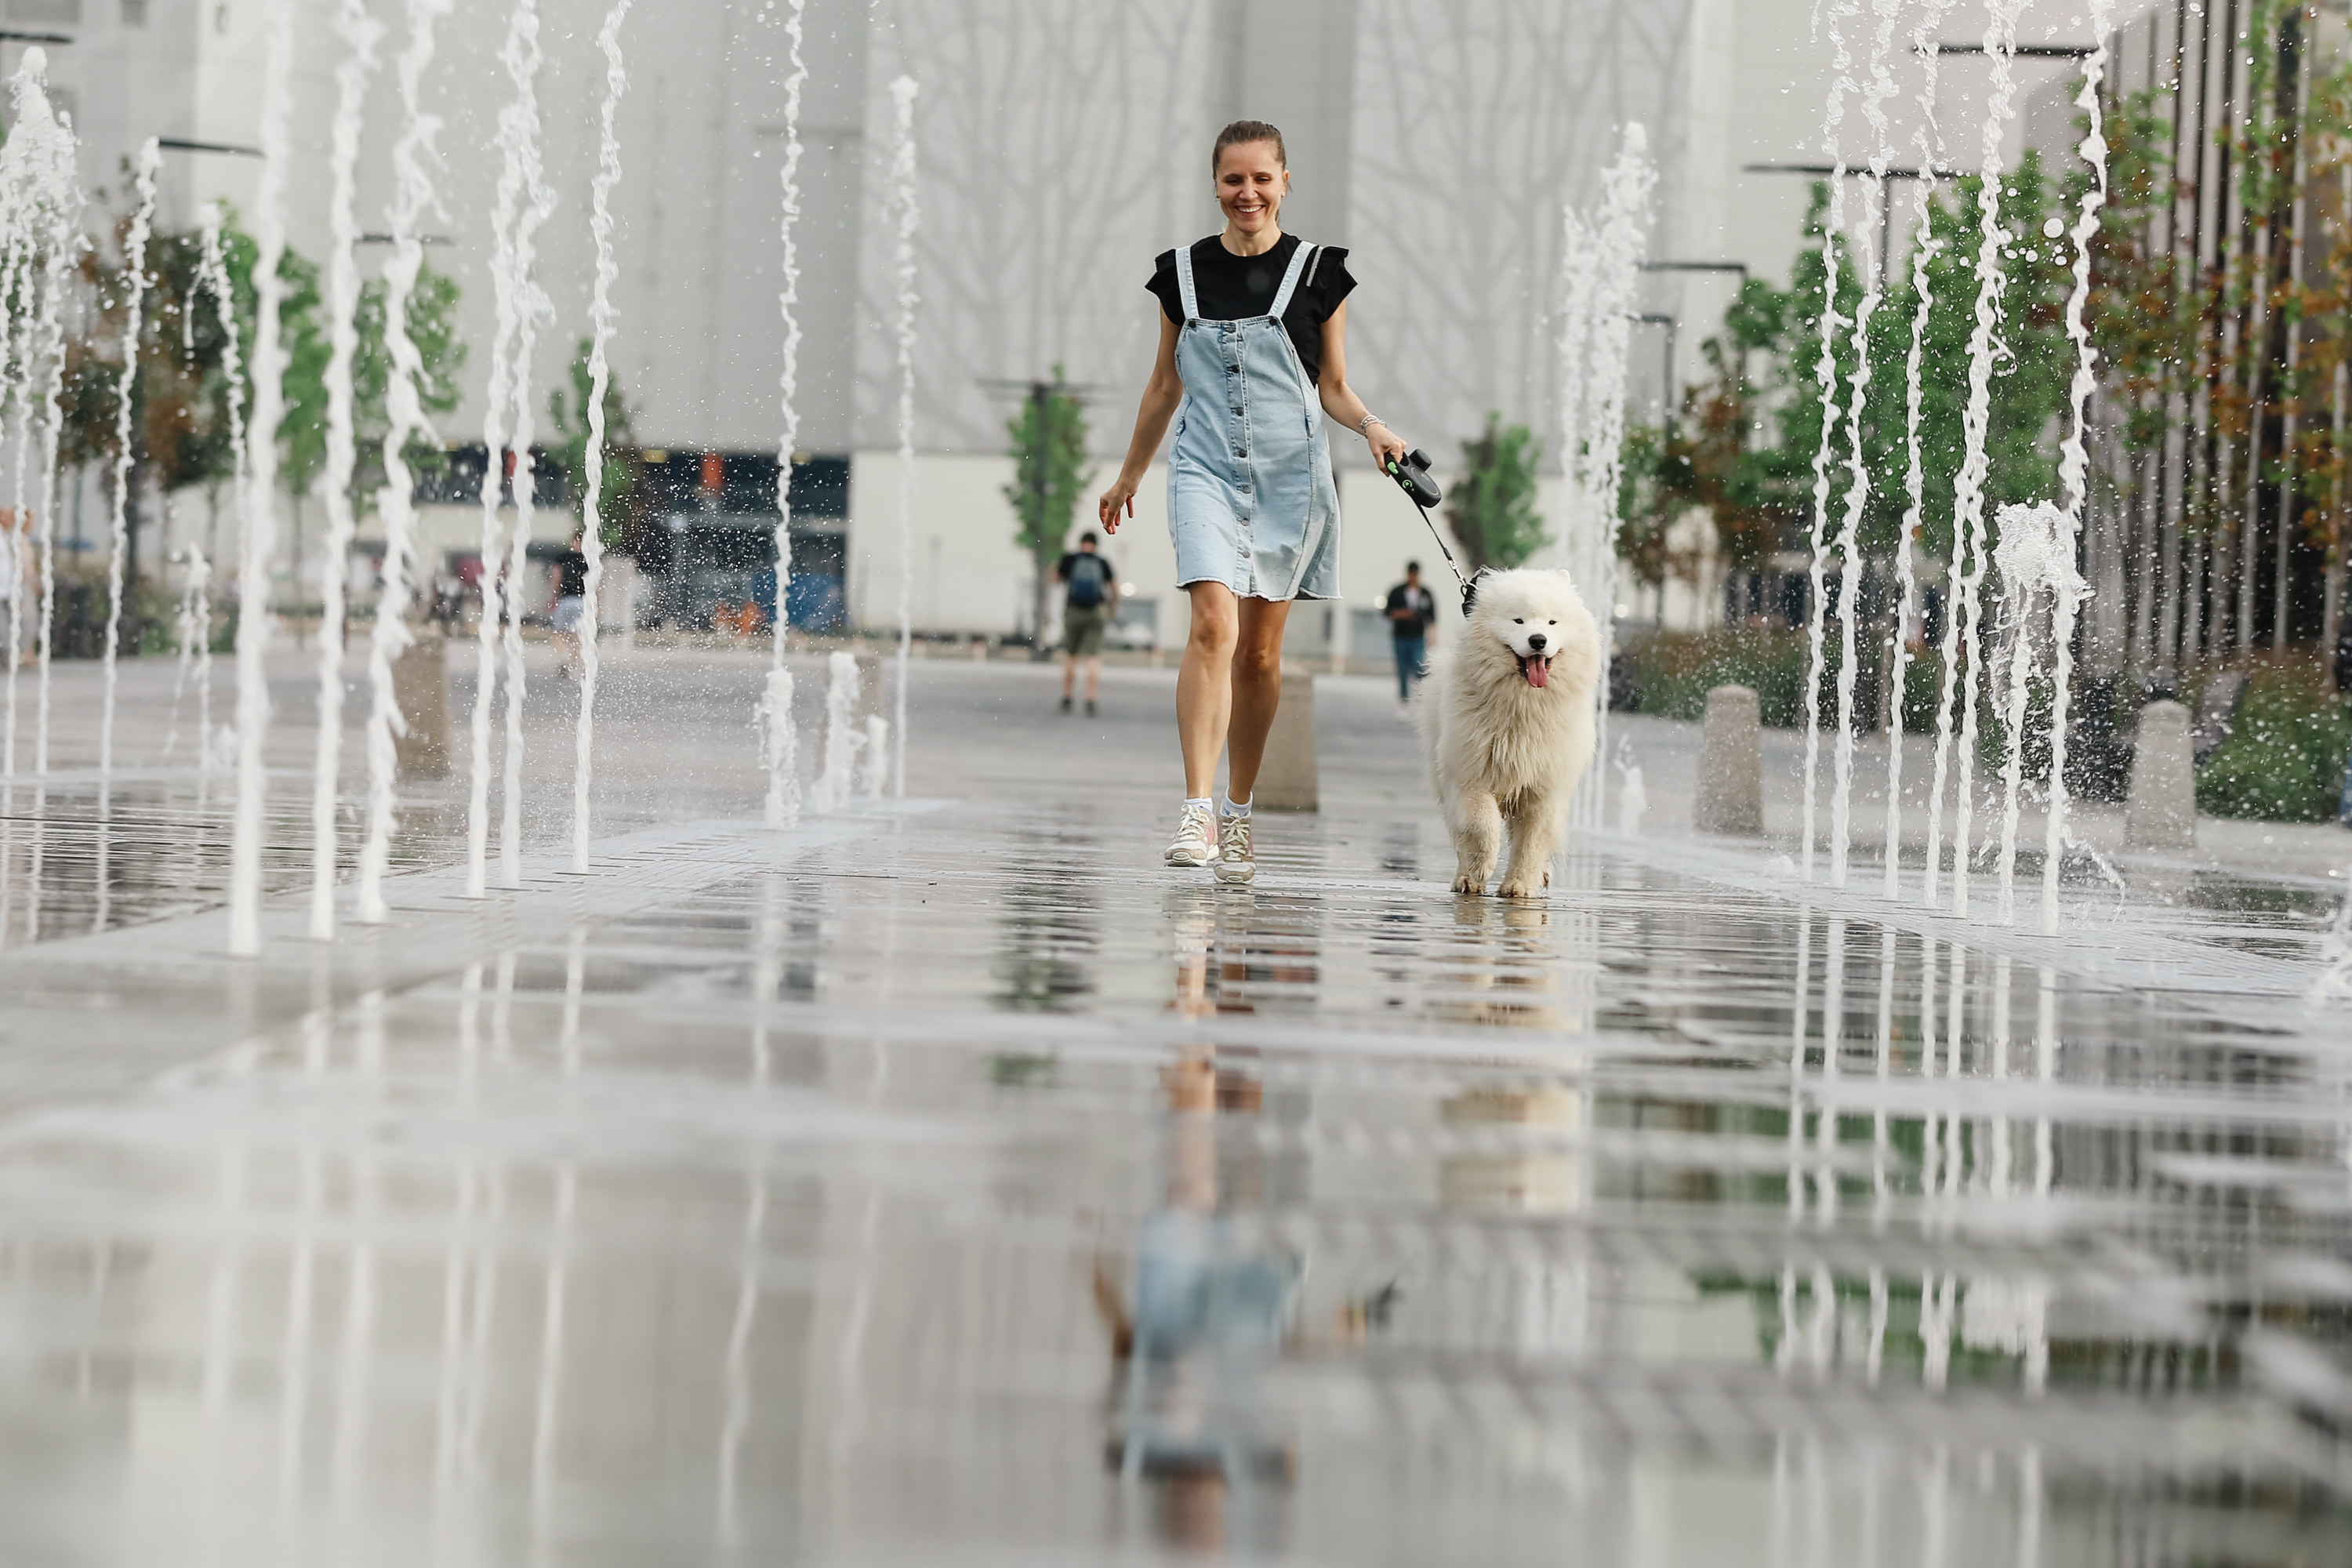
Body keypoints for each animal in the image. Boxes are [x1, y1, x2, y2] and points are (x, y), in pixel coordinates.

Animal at [1402, 571, 1609, 902]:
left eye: (1552, 622)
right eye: (1518, 621)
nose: (1538, 640)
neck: (1522, 707)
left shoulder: (1542, 790)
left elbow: (1532, 843)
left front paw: (1519, 886)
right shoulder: (1471, 778)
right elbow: (1482, 826)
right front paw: (1481, 869)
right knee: (1461, 836)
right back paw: (1465, 878)